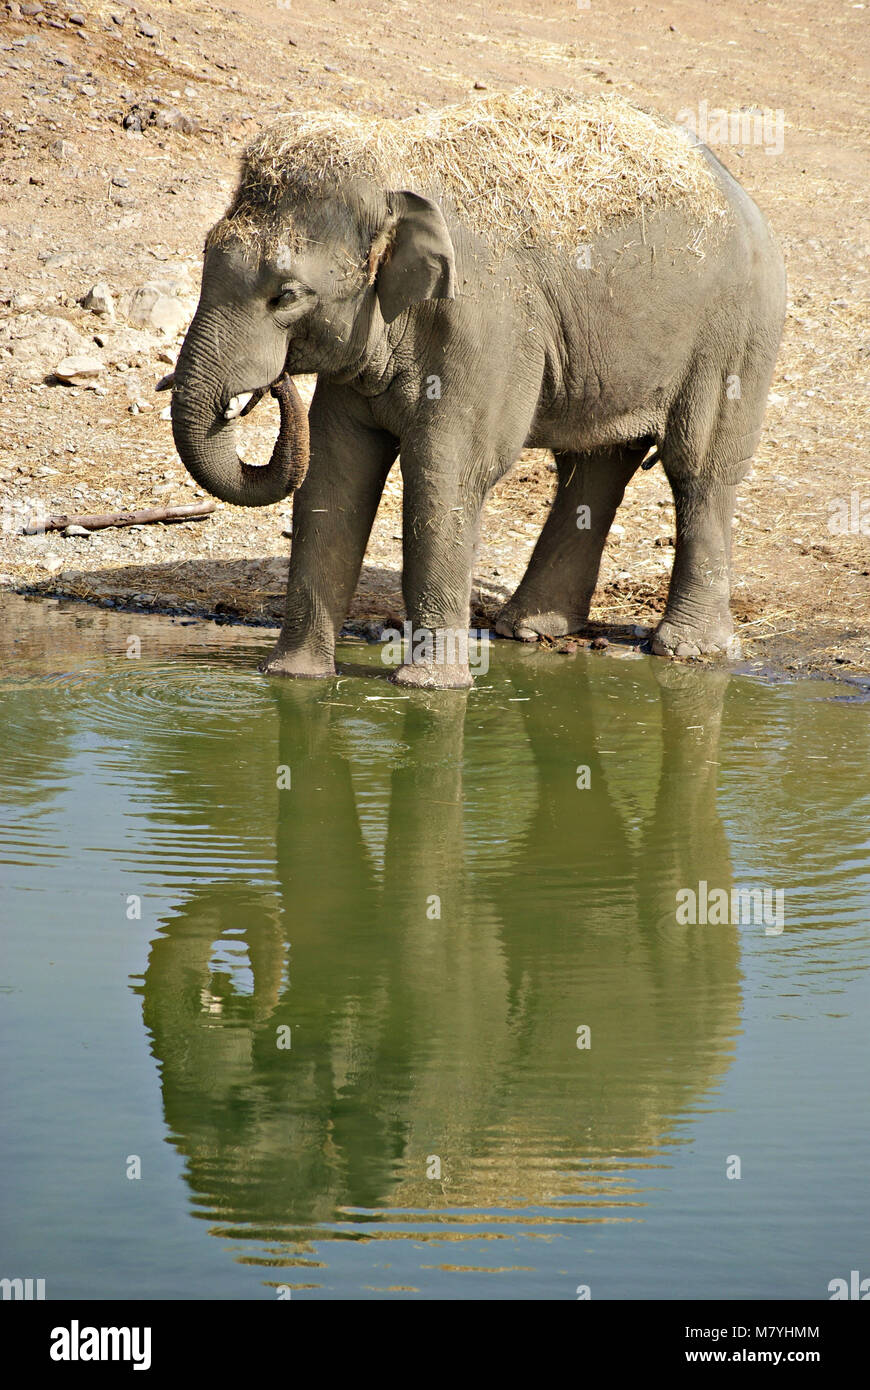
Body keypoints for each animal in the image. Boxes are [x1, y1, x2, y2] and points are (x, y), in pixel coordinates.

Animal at [166, 89, 783, 686]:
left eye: (287, 296)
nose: (273, 387)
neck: (394, 172)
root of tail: (738, 190)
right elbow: (336, 472)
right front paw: (294, 680)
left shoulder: (485, 327)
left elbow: (447, 473)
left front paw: (432, 689)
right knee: (596, 461)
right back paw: (529, 630)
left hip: (733, 333)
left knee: (698, 466)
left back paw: (688, 650)